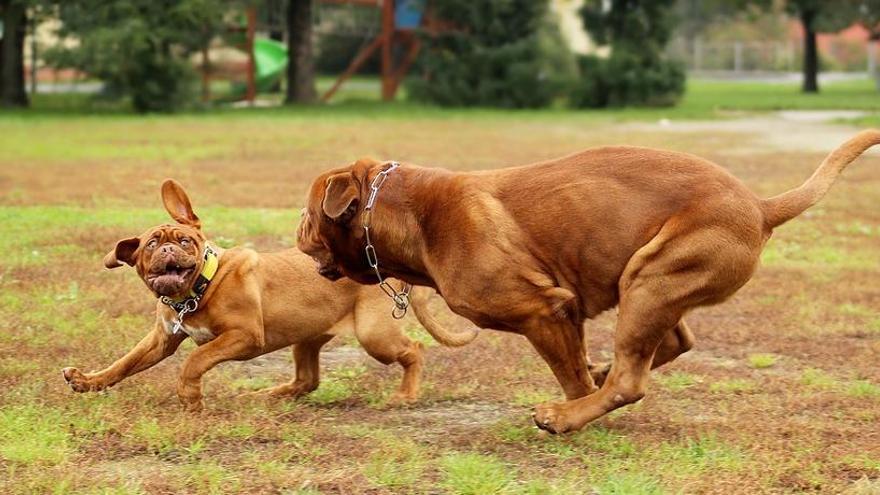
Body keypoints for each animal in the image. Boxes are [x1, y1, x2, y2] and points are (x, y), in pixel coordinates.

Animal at [61, 180, 474, 412]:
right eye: (150, 245)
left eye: (185, 240)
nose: (167, 251)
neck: (199, 289)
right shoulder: (161, 339)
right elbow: (124, 363)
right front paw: (87, 381)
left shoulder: (244, 336)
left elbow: (195, 360)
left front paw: (191, 398)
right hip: (307, 336)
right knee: (307, 381)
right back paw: (265, 396)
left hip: (375, 335)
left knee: (414, 351)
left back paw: (405, 396)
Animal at [300, 132, 880, 434]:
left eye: (306, 214)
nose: (296, 231)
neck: (409, 213)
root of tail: (760, 206)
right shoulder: (569, 311)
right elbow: (581, 363)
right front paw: (587, 377)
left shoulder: (546, 310)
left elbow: (570, 376)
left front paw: (571, 410)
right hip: (651, 283)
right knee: (671, 343)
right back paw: (601, 372)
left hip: (649, 280)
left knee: (630, 380)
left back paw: (566, 415)